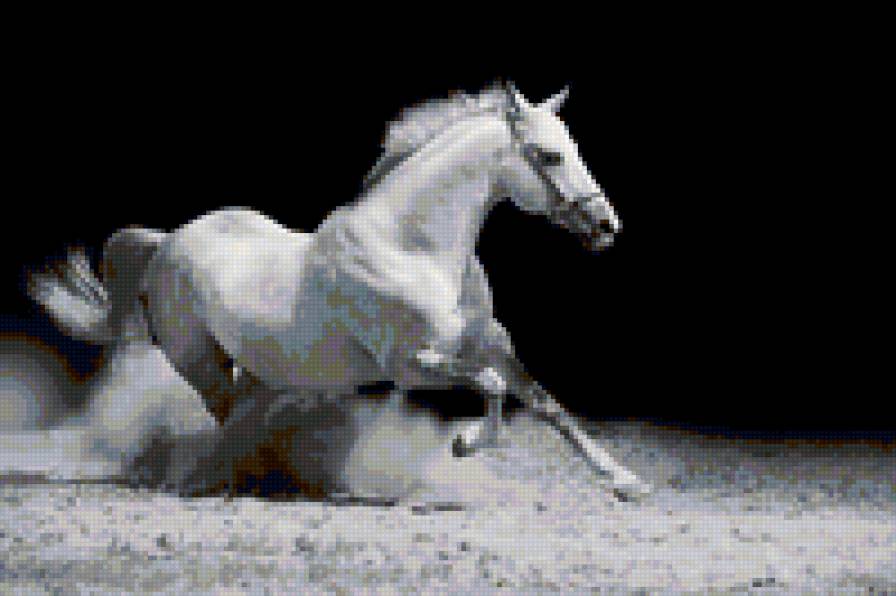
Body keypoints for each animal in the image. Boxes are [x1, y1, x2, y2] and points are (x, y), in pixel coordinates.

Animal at [30, 82, 650, 499]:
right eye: (549, 155)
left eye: (573, 145)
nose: (607, 226)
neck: (412, 250)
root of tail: (168, 241)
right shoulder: (411, 365)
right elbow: (495, 388)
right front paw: (462, 445)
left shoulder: (488, 345)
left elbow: (547, 403)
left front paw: (625, 480)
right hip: (198, 360)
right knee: (227, 416)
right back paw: (232, 478)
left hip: (258, 368)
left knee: (246, 415)